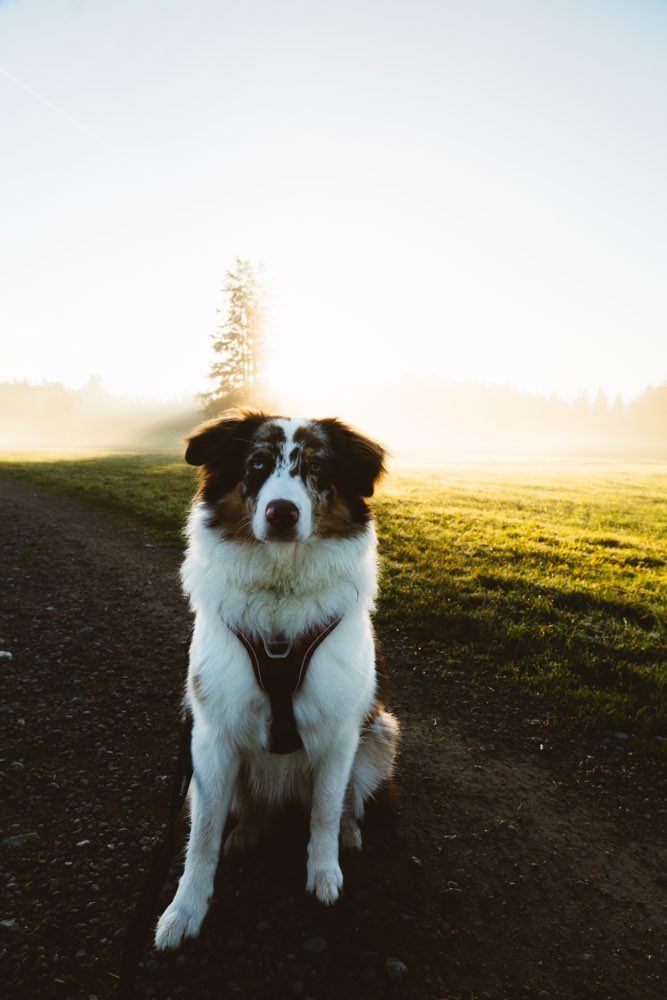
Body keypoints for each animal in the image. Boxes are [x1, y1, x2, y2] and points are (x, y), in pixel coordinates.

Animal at [154, 410, 400, 948]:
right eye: (258, 464)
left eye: (317, 467)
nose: (281, 513)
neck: (280, 593)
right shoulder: (211, 733)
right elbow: (202, 833)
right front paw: (184, 911)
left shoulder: (340, 728)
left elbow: (326, 807)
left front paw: (324, 873)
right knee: (250, 808)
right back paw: (248, 830)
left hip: (381, 729)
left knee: (348, 799)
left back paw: (348, 832)